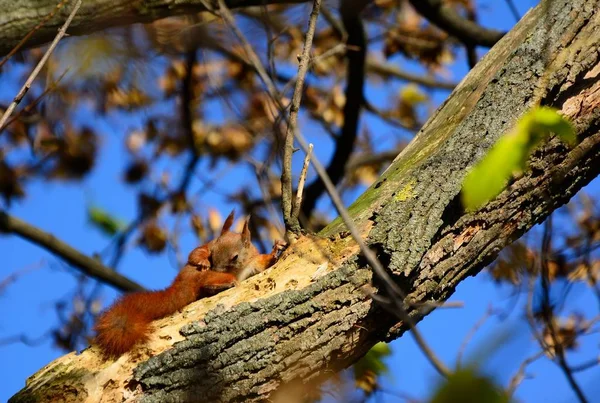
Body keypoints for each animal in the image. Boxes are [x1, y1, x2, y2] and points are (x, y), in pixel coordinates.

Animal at [94, 211, 286, 356]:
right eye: (213, 252)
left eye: (235, 257)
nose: (215, 267)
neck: (239, 269)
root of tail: (182, 285)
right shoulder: (207, 247)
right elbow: (195, 253)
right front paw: (202, 260)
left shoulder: (253, 263)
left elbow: (263, 264)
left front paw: (276, 249)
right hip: (203, 277)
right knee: (205, 285)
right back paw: (224, 284)